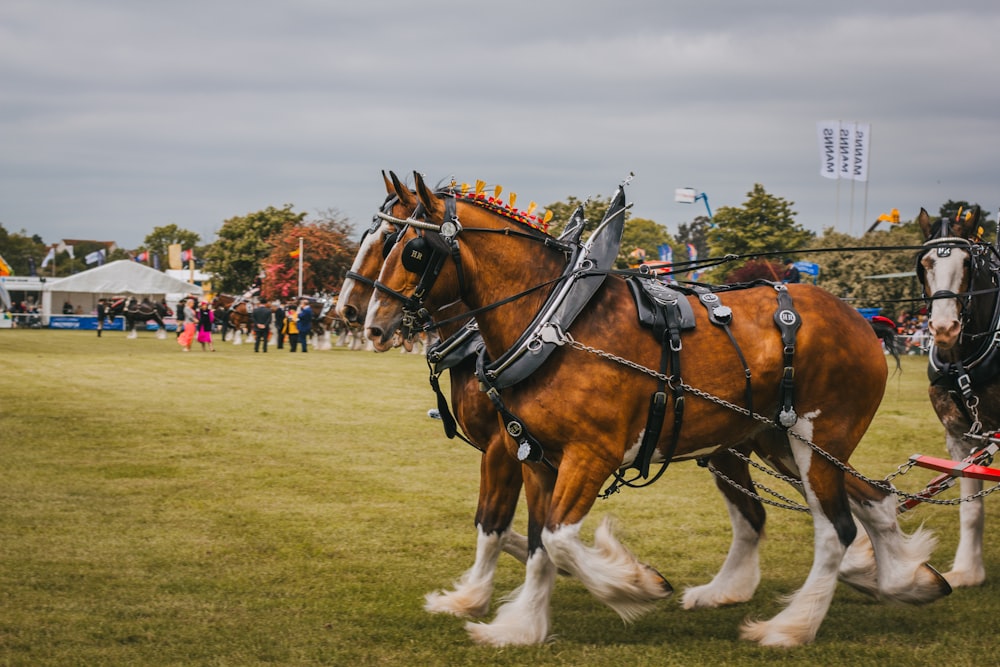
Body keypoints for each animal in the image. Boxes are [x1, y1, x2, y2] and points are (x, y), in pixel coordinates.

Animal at [364, 171, 948, 648]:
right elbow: (534, 539)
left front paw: (634, 584)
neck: (553, 324)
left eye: (409, 248)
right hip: (776, 441)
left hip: (815, 440)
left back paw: (791, 626)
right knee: (868, 500)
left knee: (836, 529)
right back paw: (900, 579)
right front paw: (522, 625)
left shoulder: (587, 454)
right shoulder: (533, 454)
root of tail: (862, 320)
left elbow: (556, 539)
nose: (366, 322)